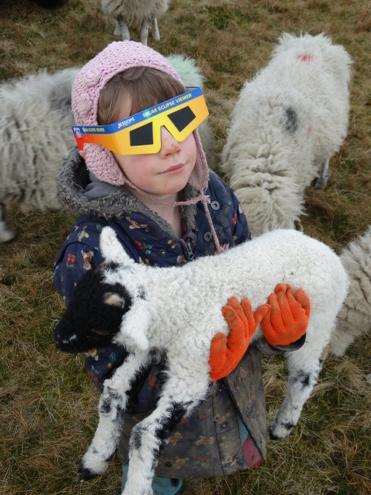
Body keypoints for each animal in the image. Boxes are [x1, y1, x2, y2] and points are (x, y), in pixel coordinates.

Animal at [54, 227, 348, 494]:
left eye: (97, 325)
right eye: (75, 297)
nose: (58, 339)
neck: (179, 300)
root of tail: (333, 257)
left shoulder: (191, 370)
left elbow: (144, 433)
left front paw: (136, 485)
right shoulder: (149, 347)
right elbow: (113, 390)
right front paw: (95, 459)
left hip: (317, 320)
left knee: (306, 373)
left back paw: (283, 425)